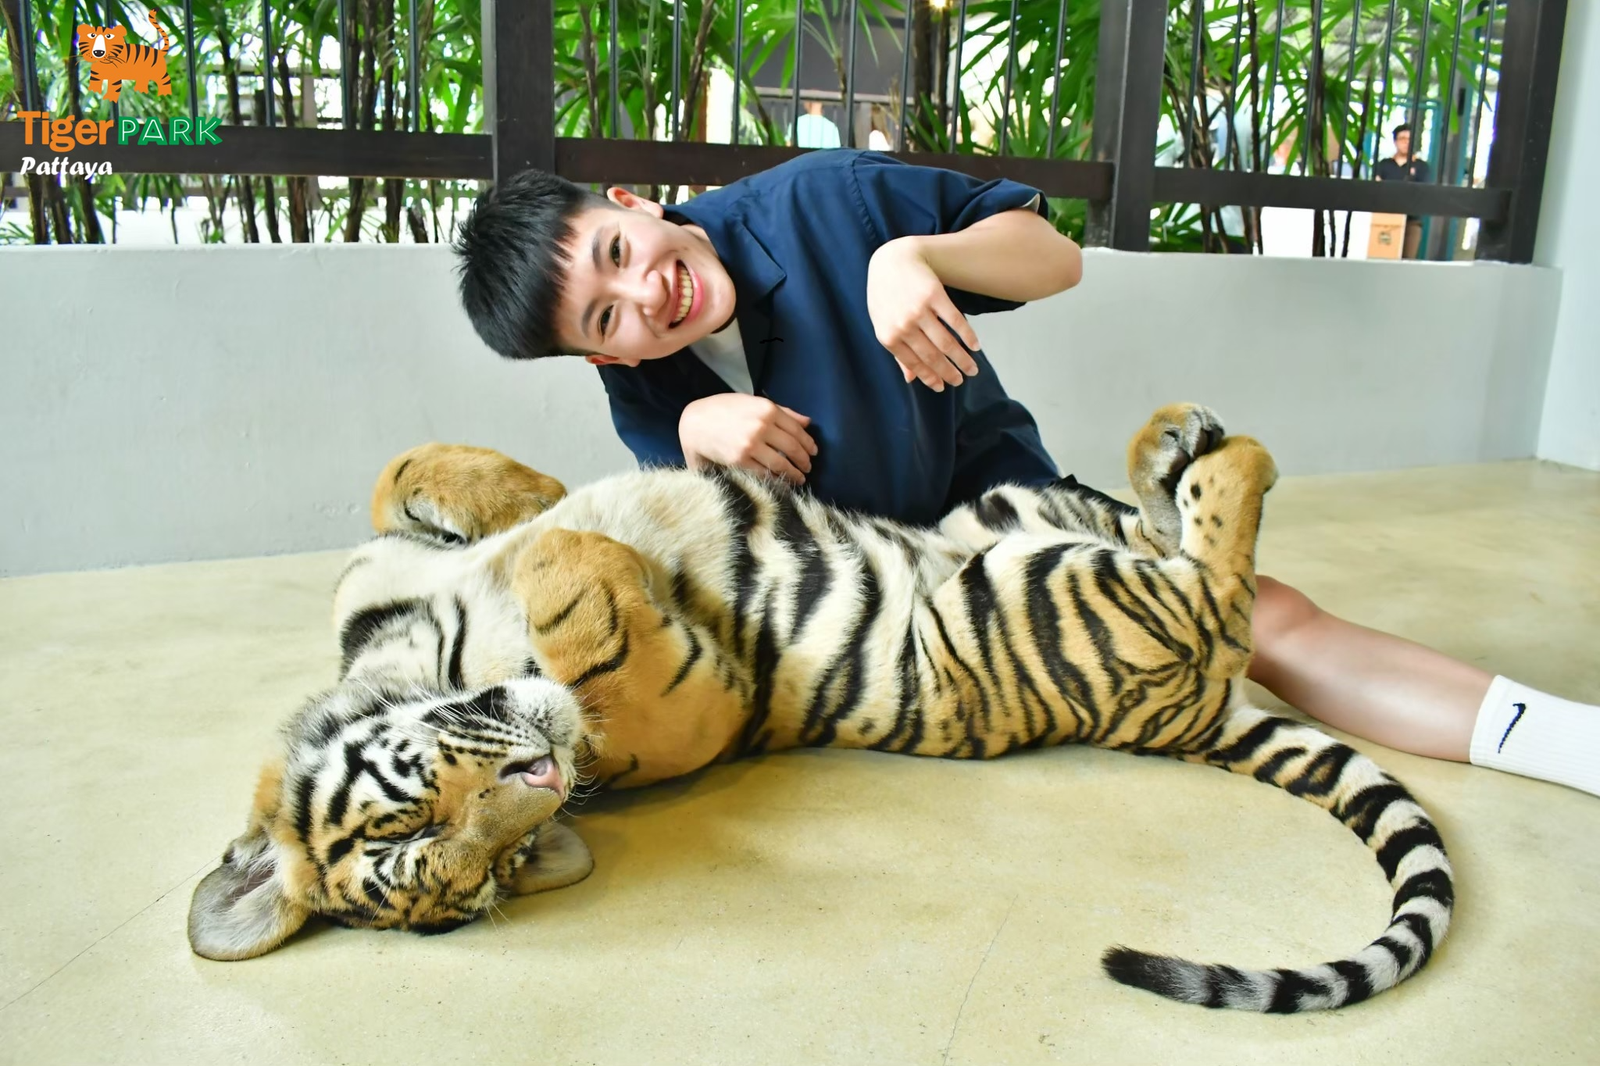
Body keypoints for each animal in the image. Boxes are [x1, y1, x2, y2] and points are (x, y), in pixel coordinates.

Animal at [187, 403, 1454, 1013]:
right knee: (1216, 587)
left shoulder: (385, 574)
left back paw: (1178, 433)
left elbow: (413, 482)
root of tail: (1196, 718)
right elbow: (582, 603)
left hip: (1008, 511)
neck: (410, 657)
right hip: (1036, 588)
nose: (545, 785)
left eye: (418, 826)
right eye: (458, 855)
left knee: (1157, 520)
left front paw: (539, 496)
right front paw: (588, 538)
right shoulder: (697, 698)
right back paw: (1230, 459)